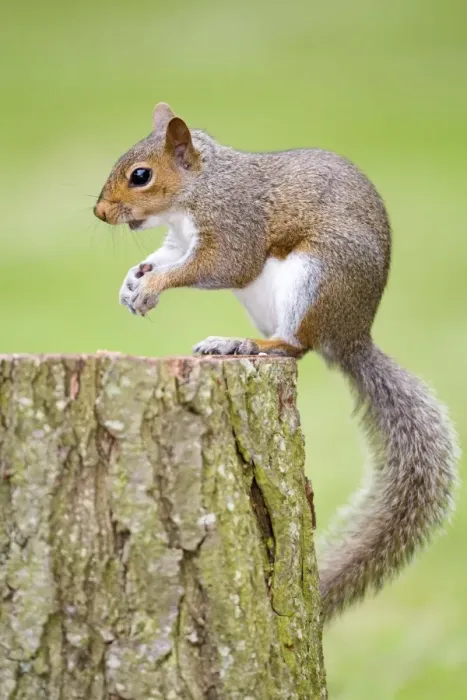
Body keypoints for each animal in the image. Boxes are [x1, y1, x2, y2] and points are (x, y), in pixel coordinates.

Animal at [94, 102, 458, 624]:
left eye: (140, 176)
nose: (100, 212)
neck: (202, 188)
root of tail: (350, 339)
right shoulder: (179, 240)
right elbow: (165, 256)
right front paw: (133, 280)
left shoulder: (235, 226)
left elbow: (215, 266)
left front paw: (152, 286)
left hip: (315, 277)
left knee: (294, 347)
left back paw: (243, 345)